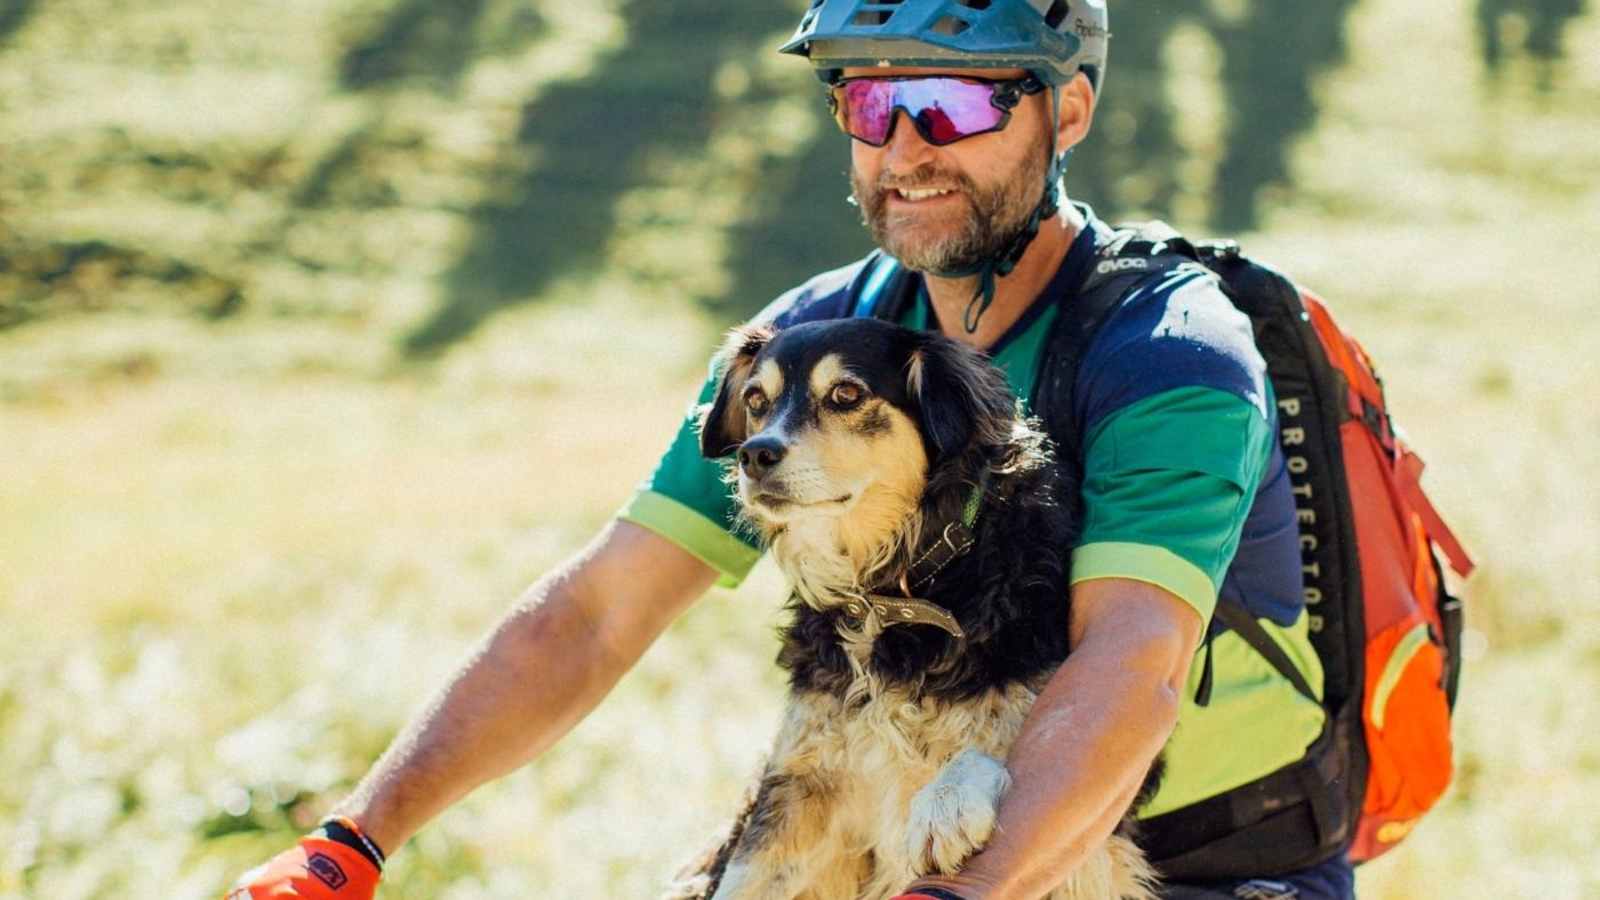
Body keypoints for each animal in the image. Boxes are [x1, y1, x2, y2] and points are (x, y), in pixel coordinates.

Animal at [668, 317, 1158, 896]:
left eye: (846, 393)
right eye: (756, 399)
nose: (754, 454)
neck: (890, 591)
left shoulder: (1098, 822)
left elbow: (1000, 749)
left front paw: (948, 804)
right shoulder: (796, 783)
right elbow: (747, 878)